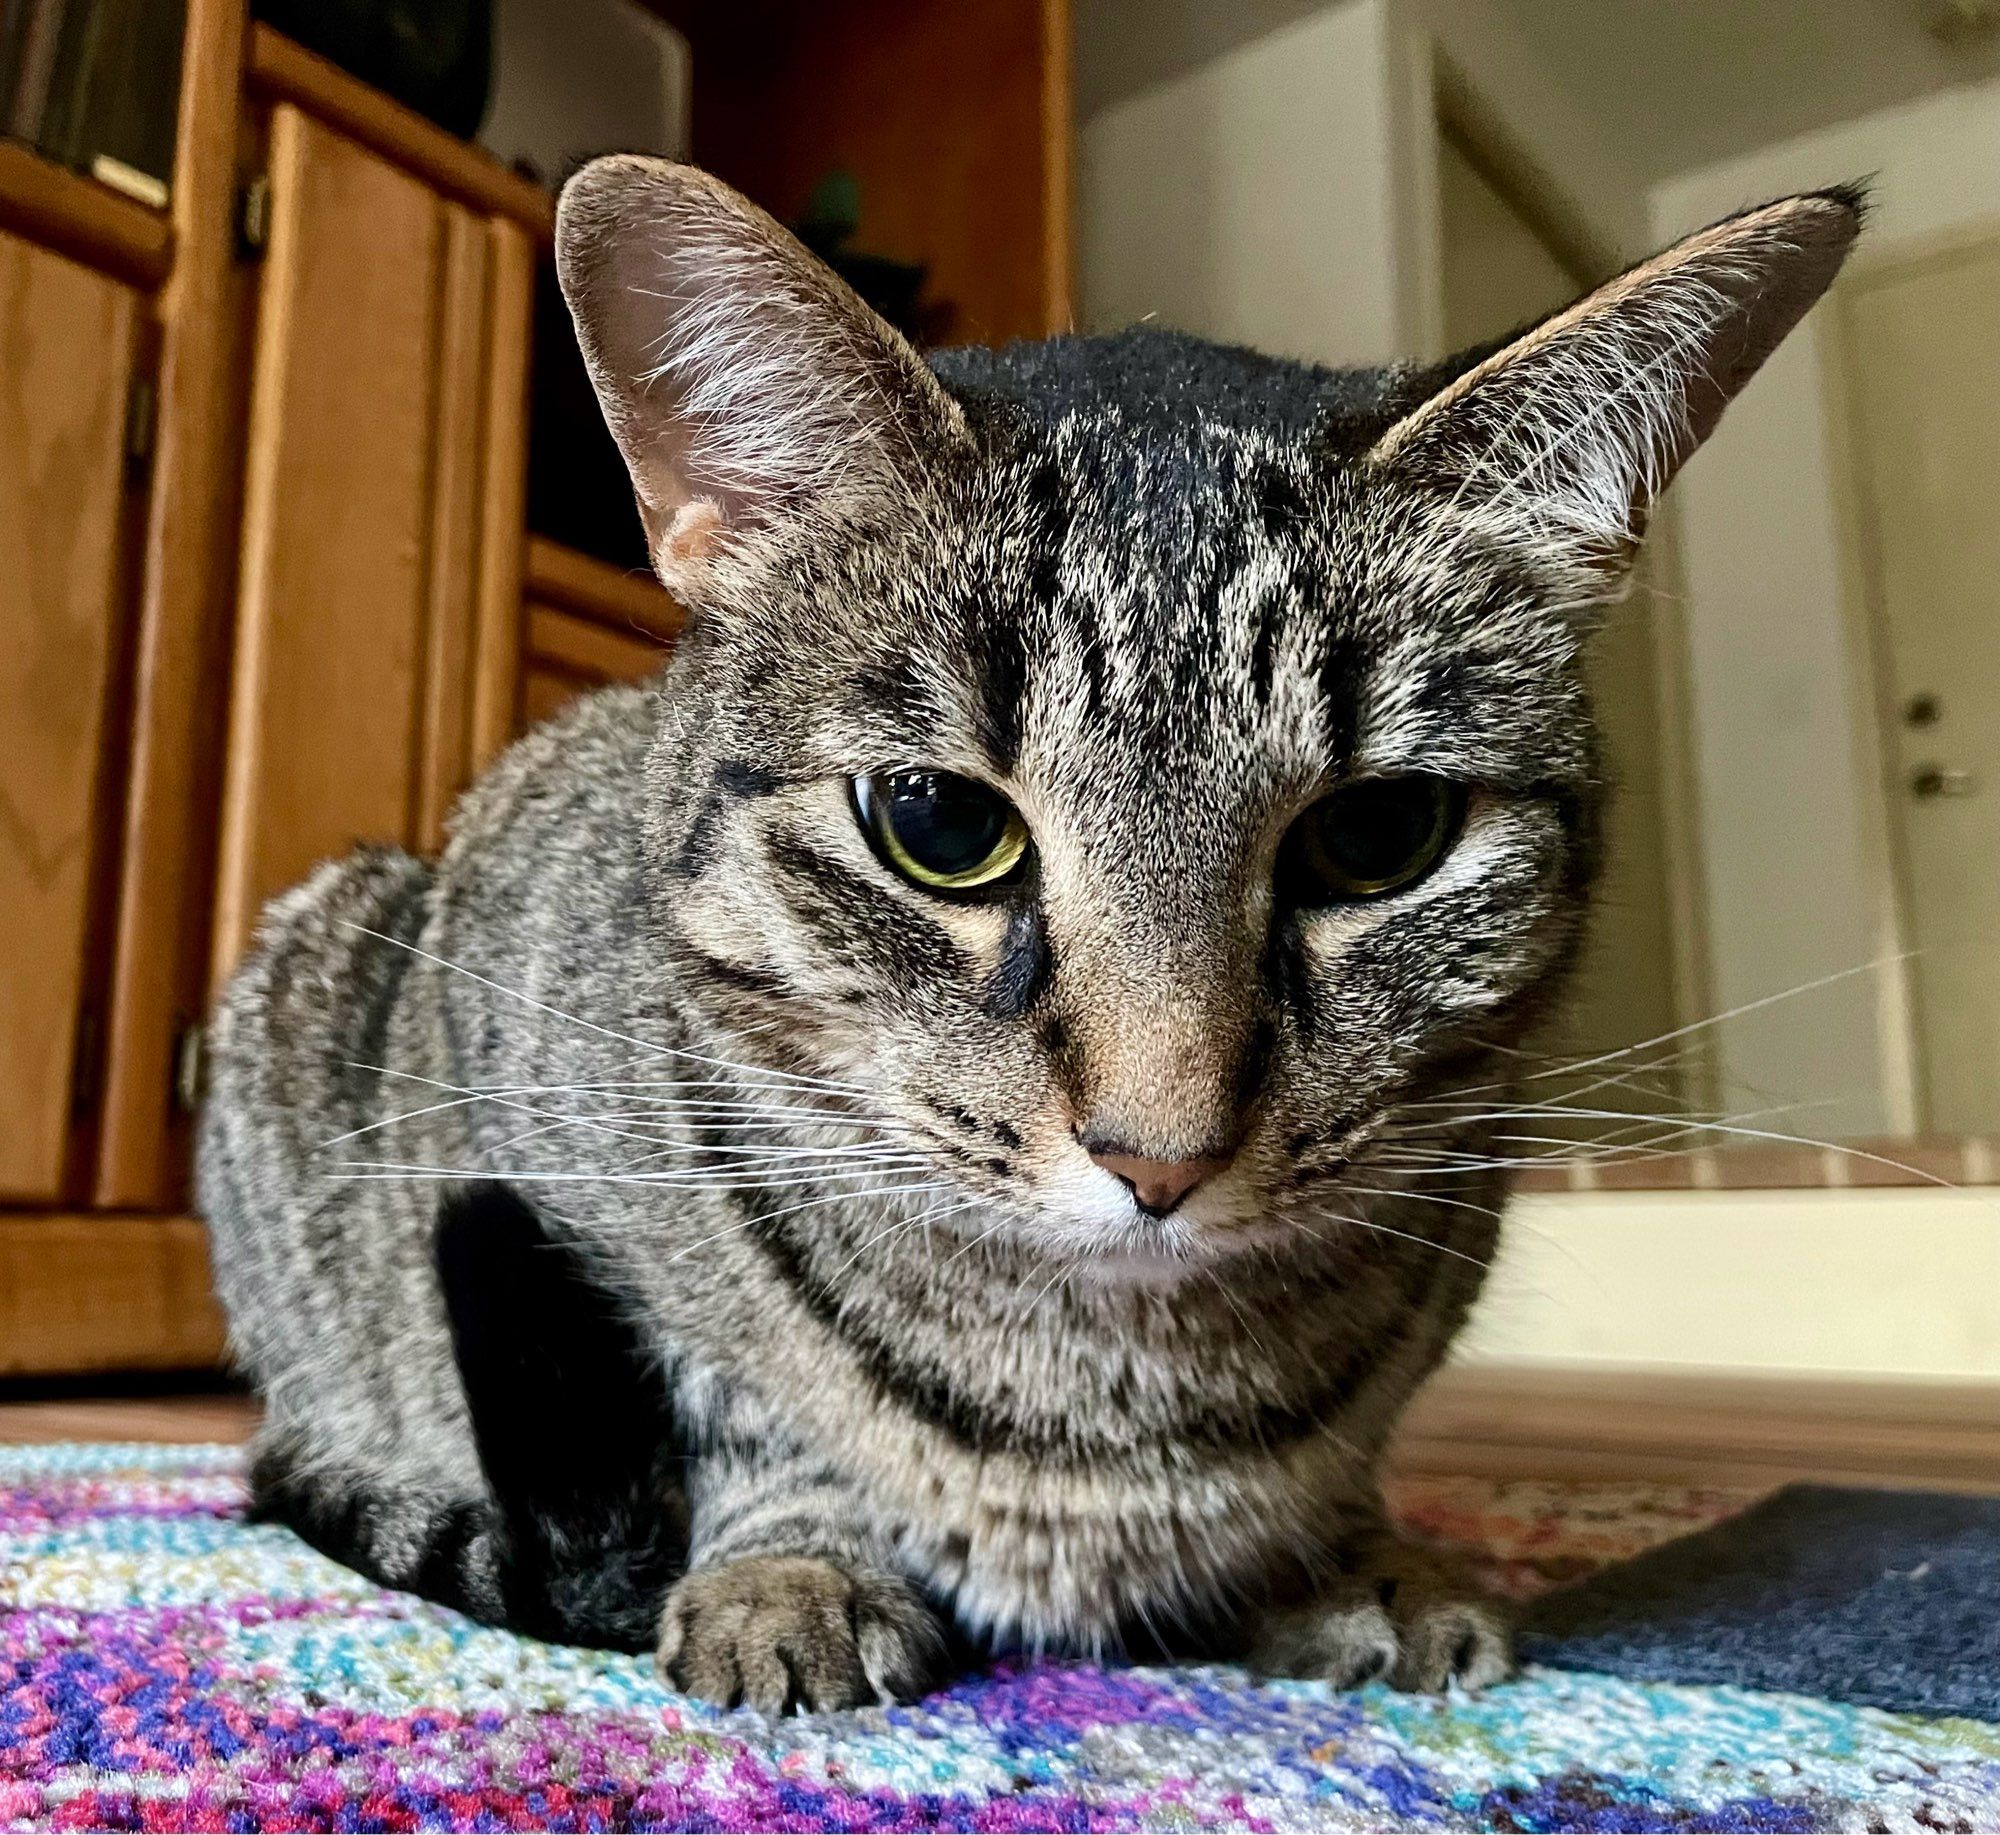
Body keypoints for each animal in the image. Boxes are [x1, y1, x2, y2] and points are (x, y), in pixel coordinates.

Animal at [203, 164, 1856, 1719]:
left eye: (1380, 833)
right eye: (938, 822)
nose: (1161, 1154)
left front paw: (1354, 1553)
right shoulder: (539, 1144)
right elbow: (745, 1402)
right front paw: (792, 1563)